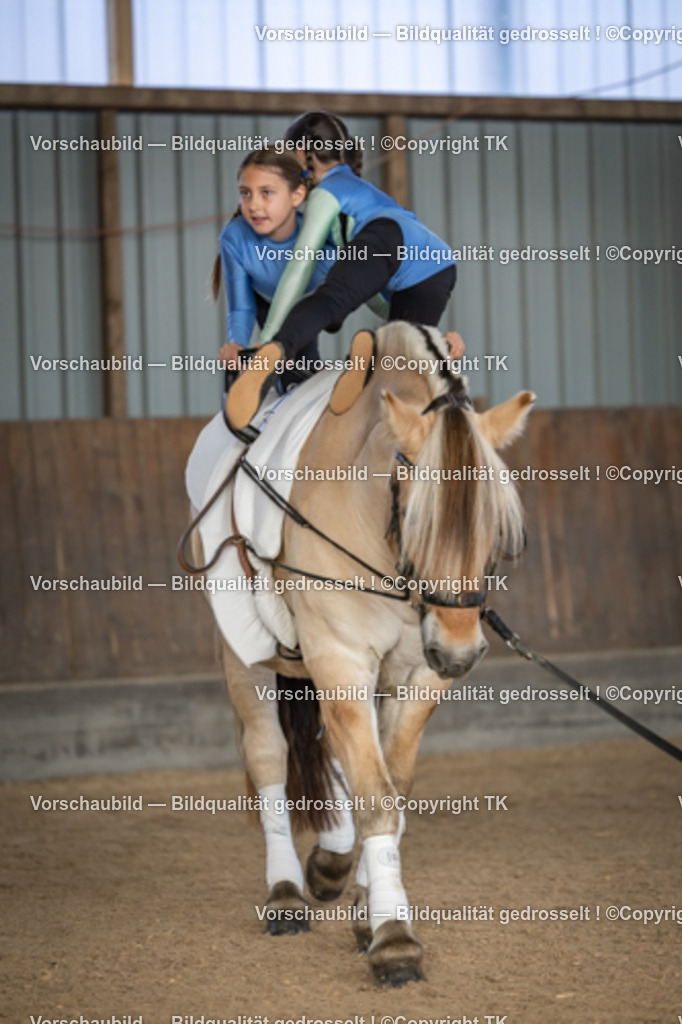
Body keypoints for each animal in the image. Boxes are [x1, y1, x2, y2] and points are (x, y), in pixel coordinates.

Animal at [189, 321, 534, 986]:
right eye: (416, 519)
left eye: (496, 528)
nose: (460, 654)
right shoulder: (341, 657)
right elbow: (375, 797)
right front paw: (395, 939)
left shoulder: (419, 674)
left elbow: (391, 791)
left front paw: (368, 909)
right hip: (244, 655)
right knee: (269, 754)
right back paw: (286, 894)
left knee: (335, 754)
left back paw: (331, 864)